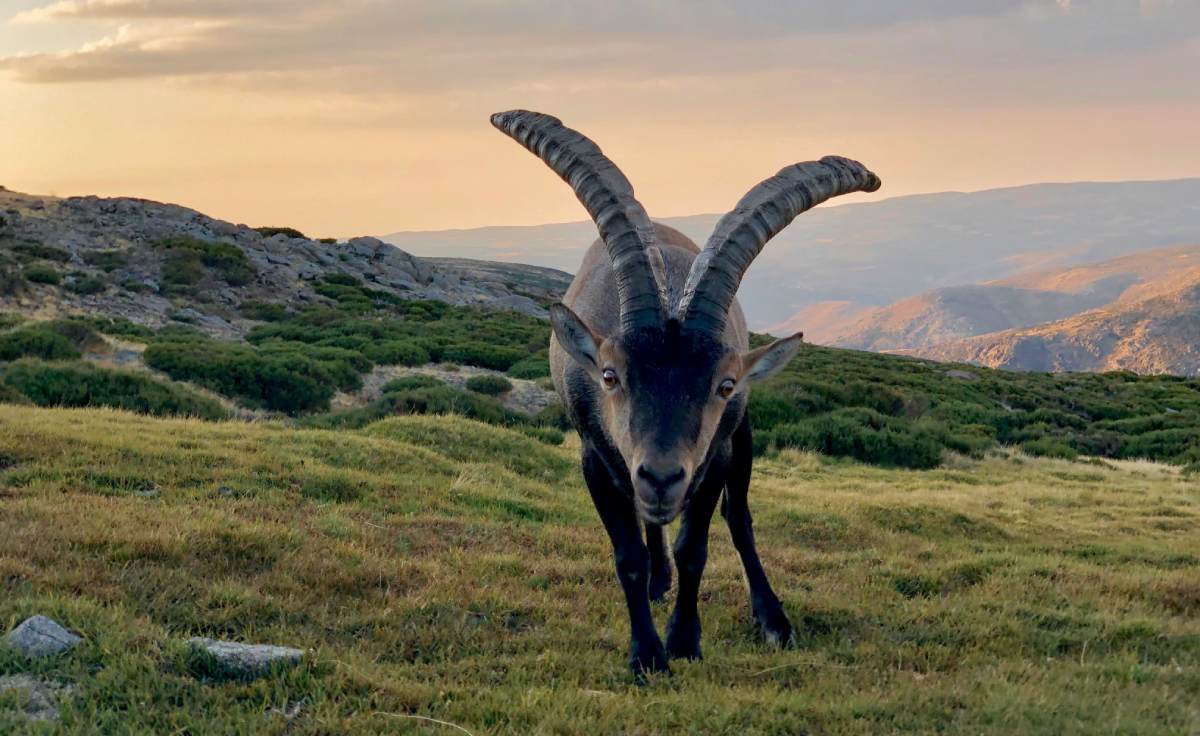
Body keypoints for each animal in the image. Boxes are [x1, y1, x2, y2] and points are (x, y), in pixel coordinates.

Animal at [492, 110, 880, 678]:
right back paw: (659, 581)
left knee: (738, 519)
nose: (661, 477)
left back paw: (772, 619)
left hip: (739, 440)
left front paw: (683, 642)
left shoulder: (713, 456)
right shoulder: (594, 457)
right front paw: (646, 654)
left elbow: (694, 546)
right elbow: (628, 553)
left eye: (724, 384)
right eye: (609, 375)